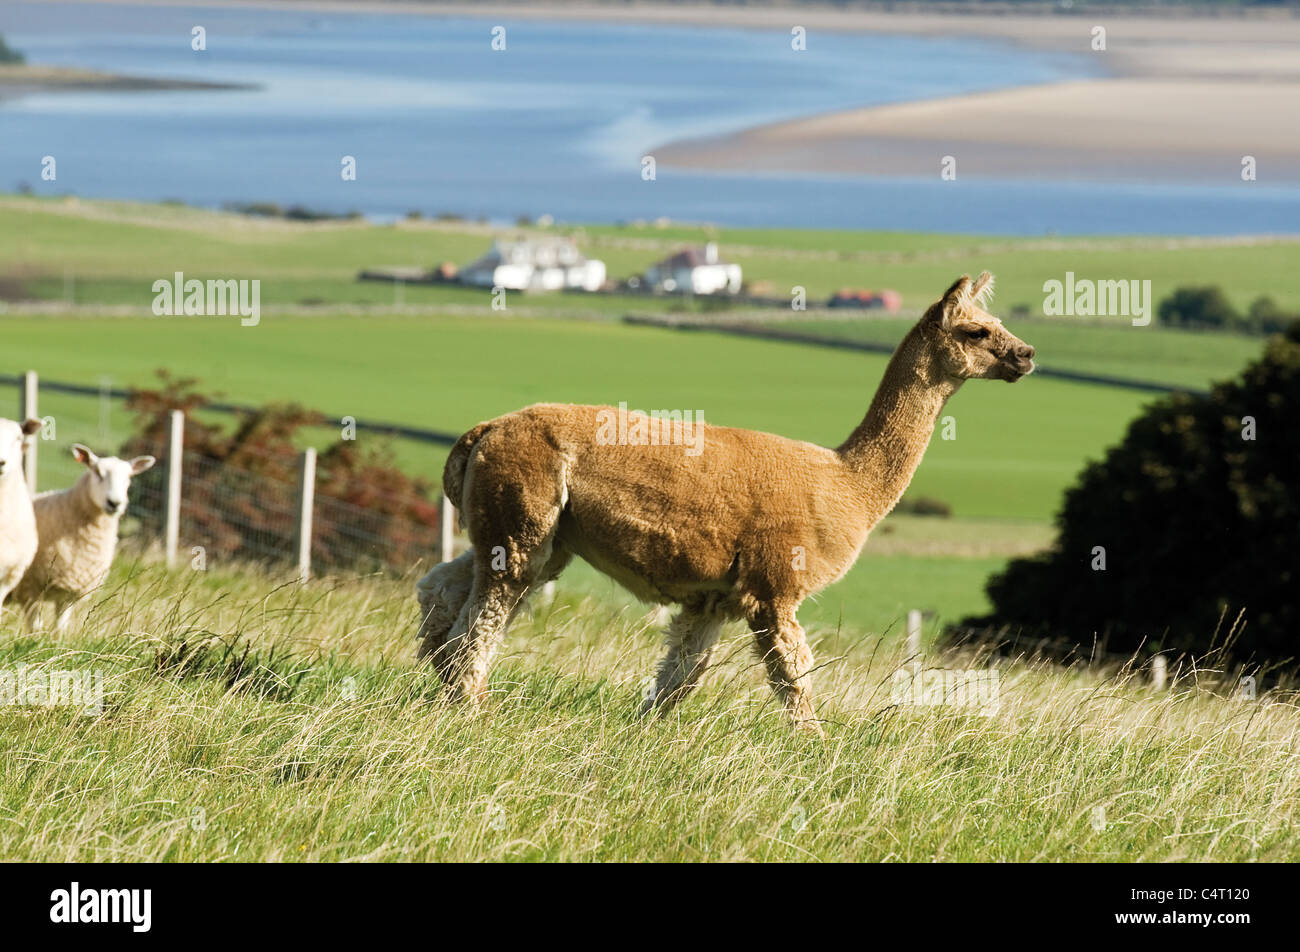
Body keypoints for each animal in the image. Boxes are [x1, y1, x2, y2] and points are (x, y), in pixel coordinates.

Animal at [12, 443, 156, 631]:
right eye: (98, 472)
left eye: (129, 477)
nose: (114, 503)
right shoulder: (29, 589)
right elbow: (35, 629)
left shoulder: (67, 591)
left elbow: (60, 629)